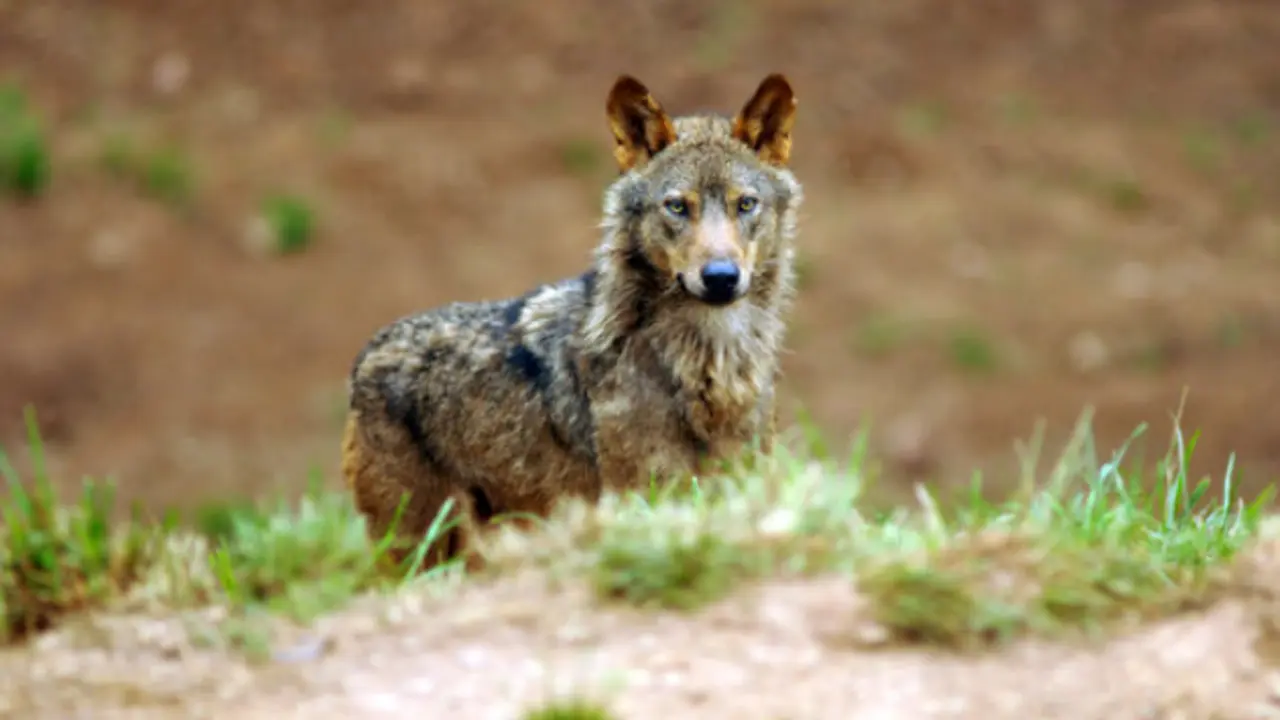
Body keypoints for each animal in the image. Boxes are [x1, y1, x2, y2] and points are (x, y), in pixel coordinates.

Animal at [341, 72, 803, 567]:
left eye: (746, 204)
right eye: (677, 207)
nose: (720, 277)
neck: (707, 368)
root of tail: (366, 353)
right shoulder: (643, 495)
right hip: (420, 547)